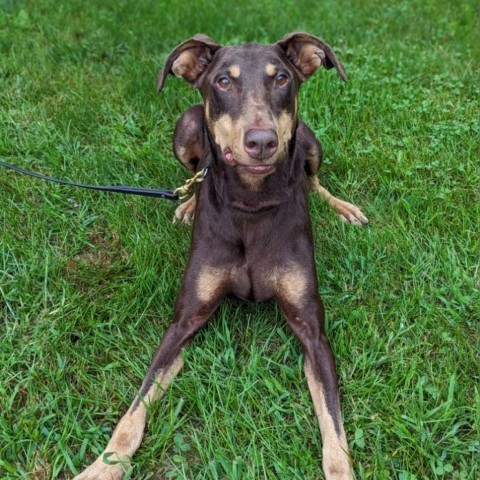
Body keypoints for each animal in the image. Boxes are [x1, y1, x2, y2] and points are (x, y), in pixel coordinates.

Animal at [76, 31, 368, 478]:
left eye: (281, 78)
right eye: (224, 82)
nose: (262, 141)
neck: (251, 201)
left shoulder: (313, 333)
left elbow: (333, 428)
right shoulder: (182, 324)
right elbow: (133, 411)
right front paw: (102, 466)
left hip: (311, 141)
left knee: (312, 176)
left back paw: (341, 207)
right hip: (185, 128)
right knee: (198, 172)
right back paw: (187, 204)